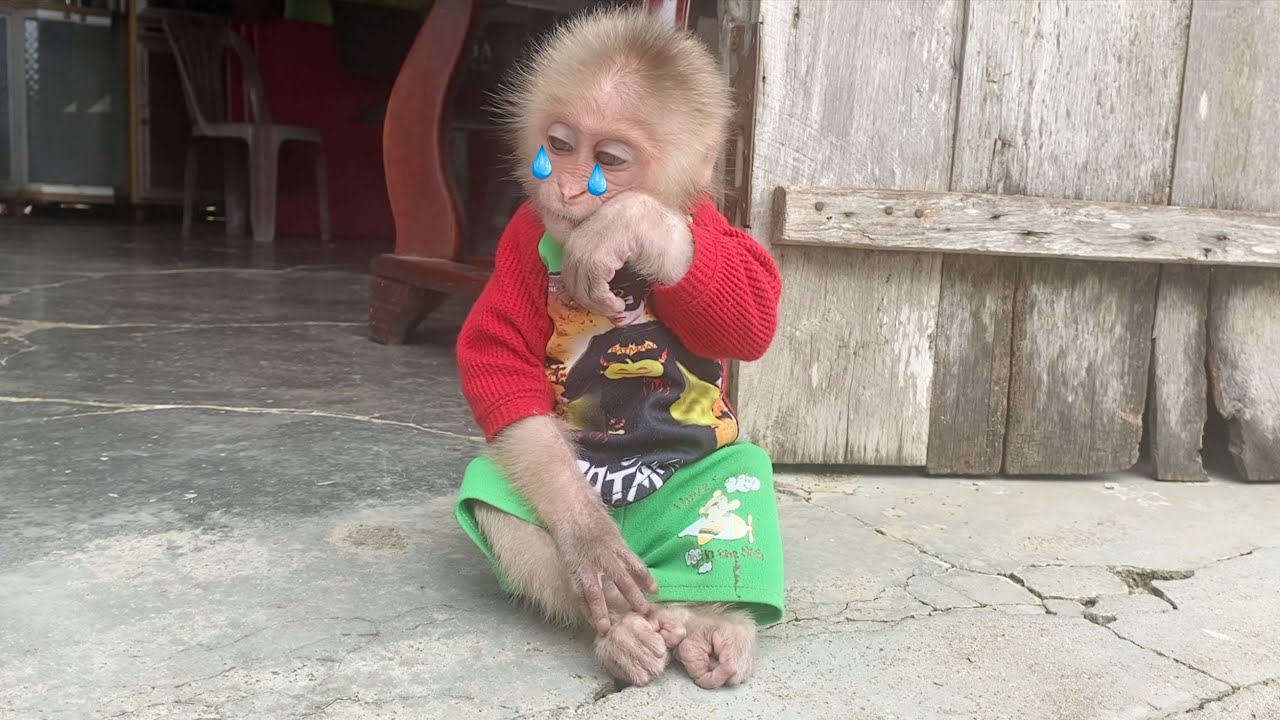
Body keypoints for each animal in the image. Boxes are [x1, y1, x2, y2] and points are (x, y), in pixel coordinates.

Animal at [452, 7, 784, 689]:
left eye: (608, 158)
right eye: (559, 146)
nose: (570, 191)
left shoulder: (711, 226)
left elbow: (751, 305)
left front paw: (634, 224)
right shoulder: (516, 248)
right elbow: (498, 365)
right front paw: (587, 540)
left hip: (711, 490)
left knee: (738, 478)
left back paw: (716, 623)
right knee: (501, 499)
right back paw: (626, 630)